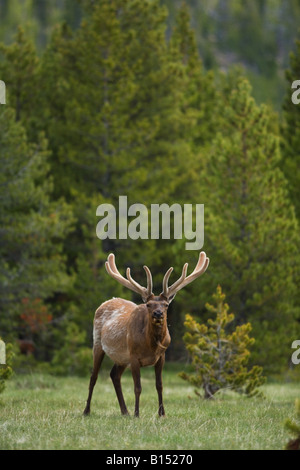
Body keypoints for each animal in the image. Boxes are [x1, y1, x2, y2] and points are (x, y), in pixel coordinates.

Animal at [82, 252, 209, 416]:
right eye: (148, 304)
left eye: (166, 305)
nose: (158, 313)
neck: (151, 345)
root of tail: (104, 303)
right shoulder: (134, 357)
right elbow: (138, 387)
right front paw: (137, 414)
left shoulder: (161, 356)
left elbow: (159, 385)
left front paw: (162, 414)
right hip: (98, 343)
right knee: (94, 376)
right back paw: (87, 411)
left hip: (122, 358)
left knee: (114, 375)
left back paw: (125, 411)